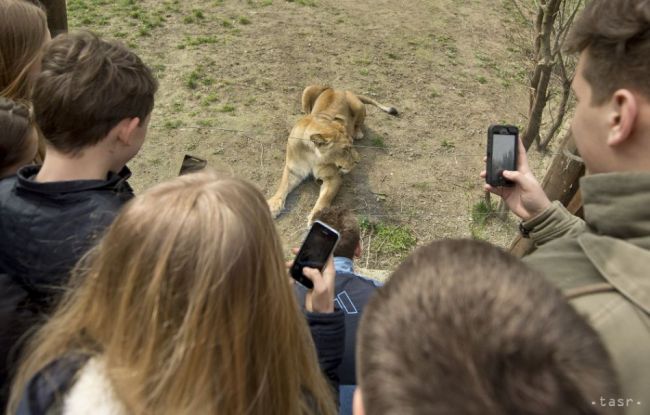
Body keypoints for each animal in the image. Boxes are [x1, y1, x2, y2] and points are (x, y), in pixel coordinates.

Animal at [266, 84, 398, 224]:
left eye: (351, 146)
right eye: (345, 149)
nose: (358, 161)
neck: (312, 155)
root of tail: (338, 88)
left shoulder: (334, 178)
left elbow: (325, 199)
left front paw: (316, 217)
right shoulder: (293, 170)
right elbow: (283, 186)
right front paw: (273, 205)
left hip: (358, 106)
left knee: (359, 122)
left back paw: (358, 133)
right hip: (307, 91)